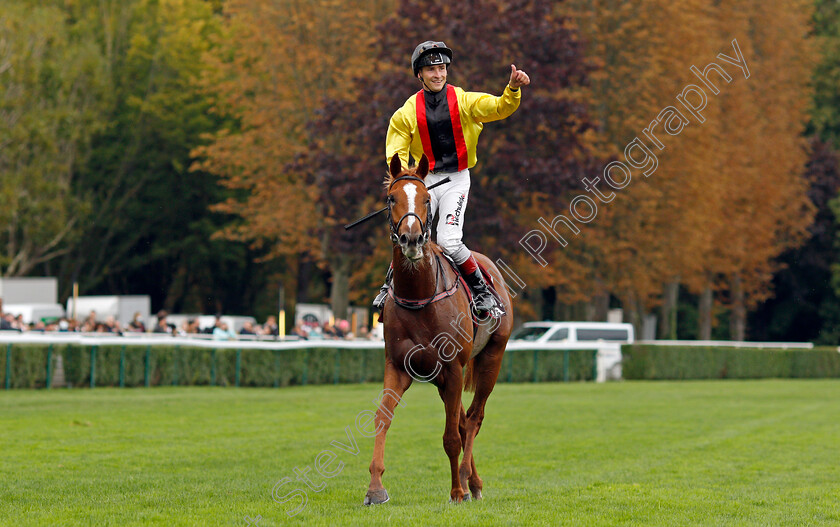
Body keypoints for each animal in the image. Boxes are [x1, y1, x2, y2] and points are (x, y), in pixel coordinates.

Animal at [364, 154, 516, 508]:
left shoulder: (453, 367)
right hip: (441, 378)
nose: (411, 239)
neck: (419, 296)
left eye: (425, 199)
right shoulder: (398, 365)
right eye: (392, 198)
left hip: (491, 358)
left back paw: (466, 480)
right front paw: (375, 488)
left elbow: (450, 437)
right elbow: (382, 418)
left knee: (472, 419)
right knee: (462, 420)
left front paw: (456, 492)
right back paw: (473, 481)